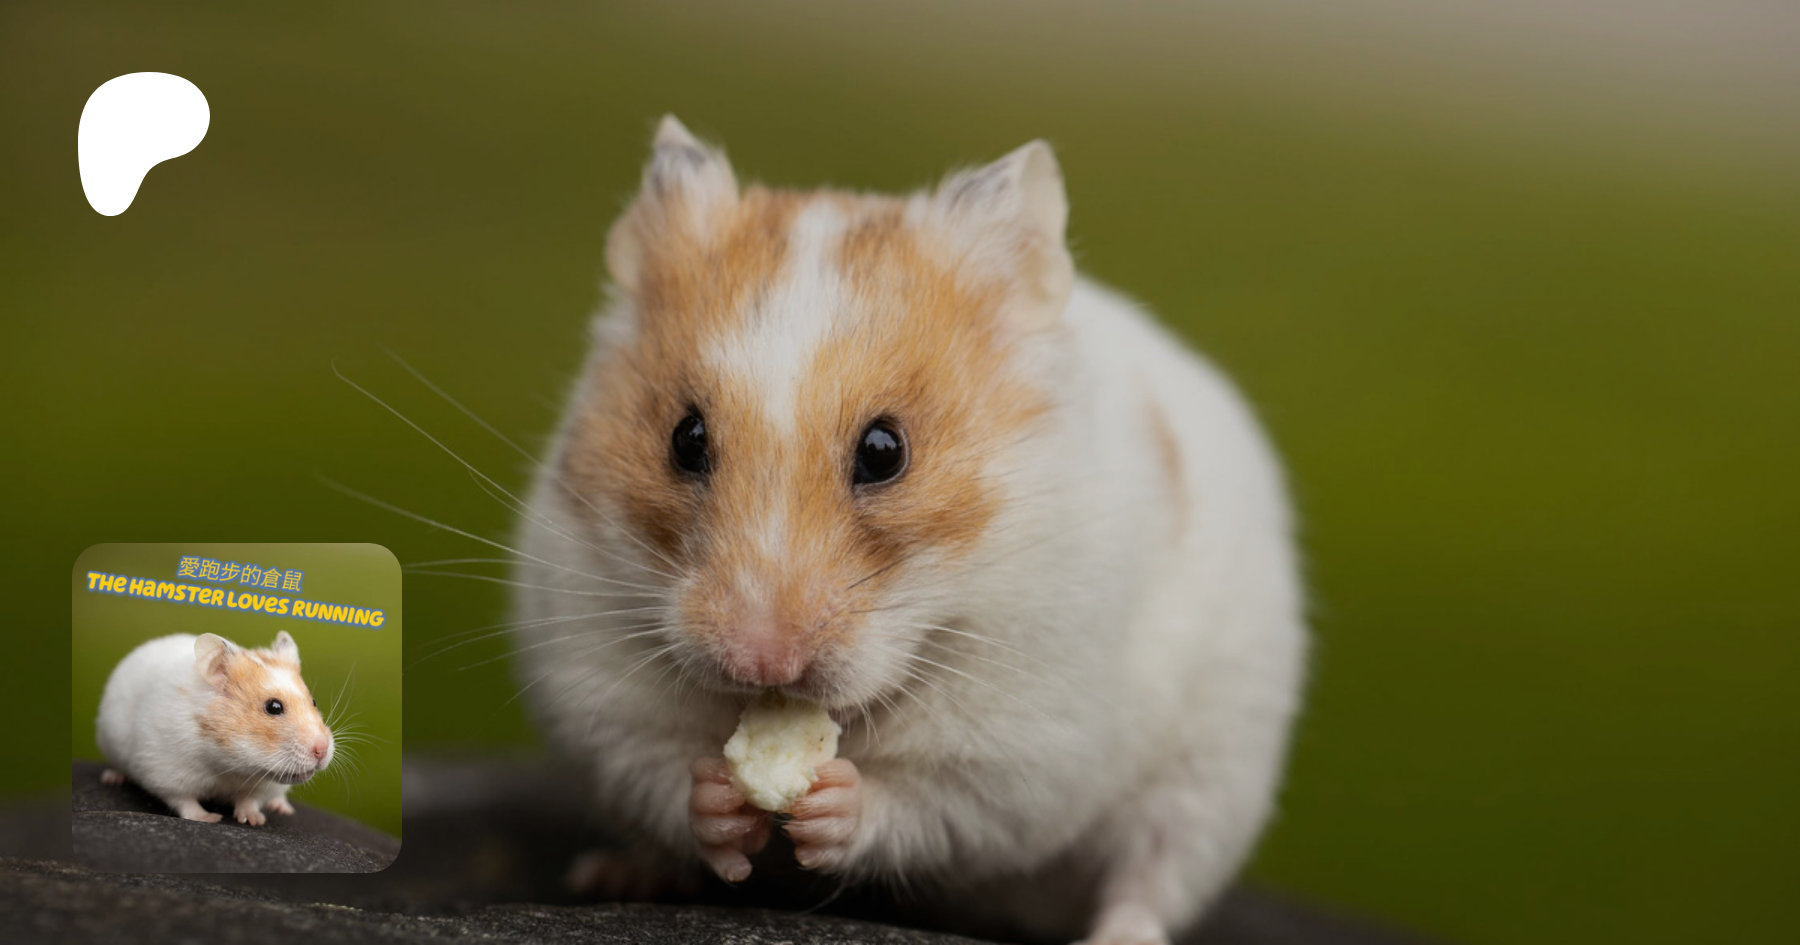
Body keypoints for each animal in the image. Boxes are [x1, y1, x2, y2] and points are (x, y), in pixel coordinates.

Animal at [95, 631, 335, 826]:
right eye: (273, 707)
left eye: (313, 702)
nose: (322, 750)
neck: (230, 765)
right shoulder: (165, 770)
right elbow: (184, 801)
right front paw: (209, 818)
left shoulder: (262, 785)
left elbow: (249, 800)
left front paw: (254, 820)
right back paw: (112, 778)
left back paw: (282, 807)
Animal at [510, 116, 1306, 945]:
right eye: (684, 438)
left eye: (885, 450)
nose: (762, 662)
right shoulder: (598, 689)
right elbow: (662, 771)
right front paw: (721, 800)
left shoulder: (1019, 749)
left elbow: (925, 804)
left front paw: (832, 802)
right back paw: (615, 874)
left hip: (1211, 776)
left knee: (1152, 875)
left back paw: (1117, 934)